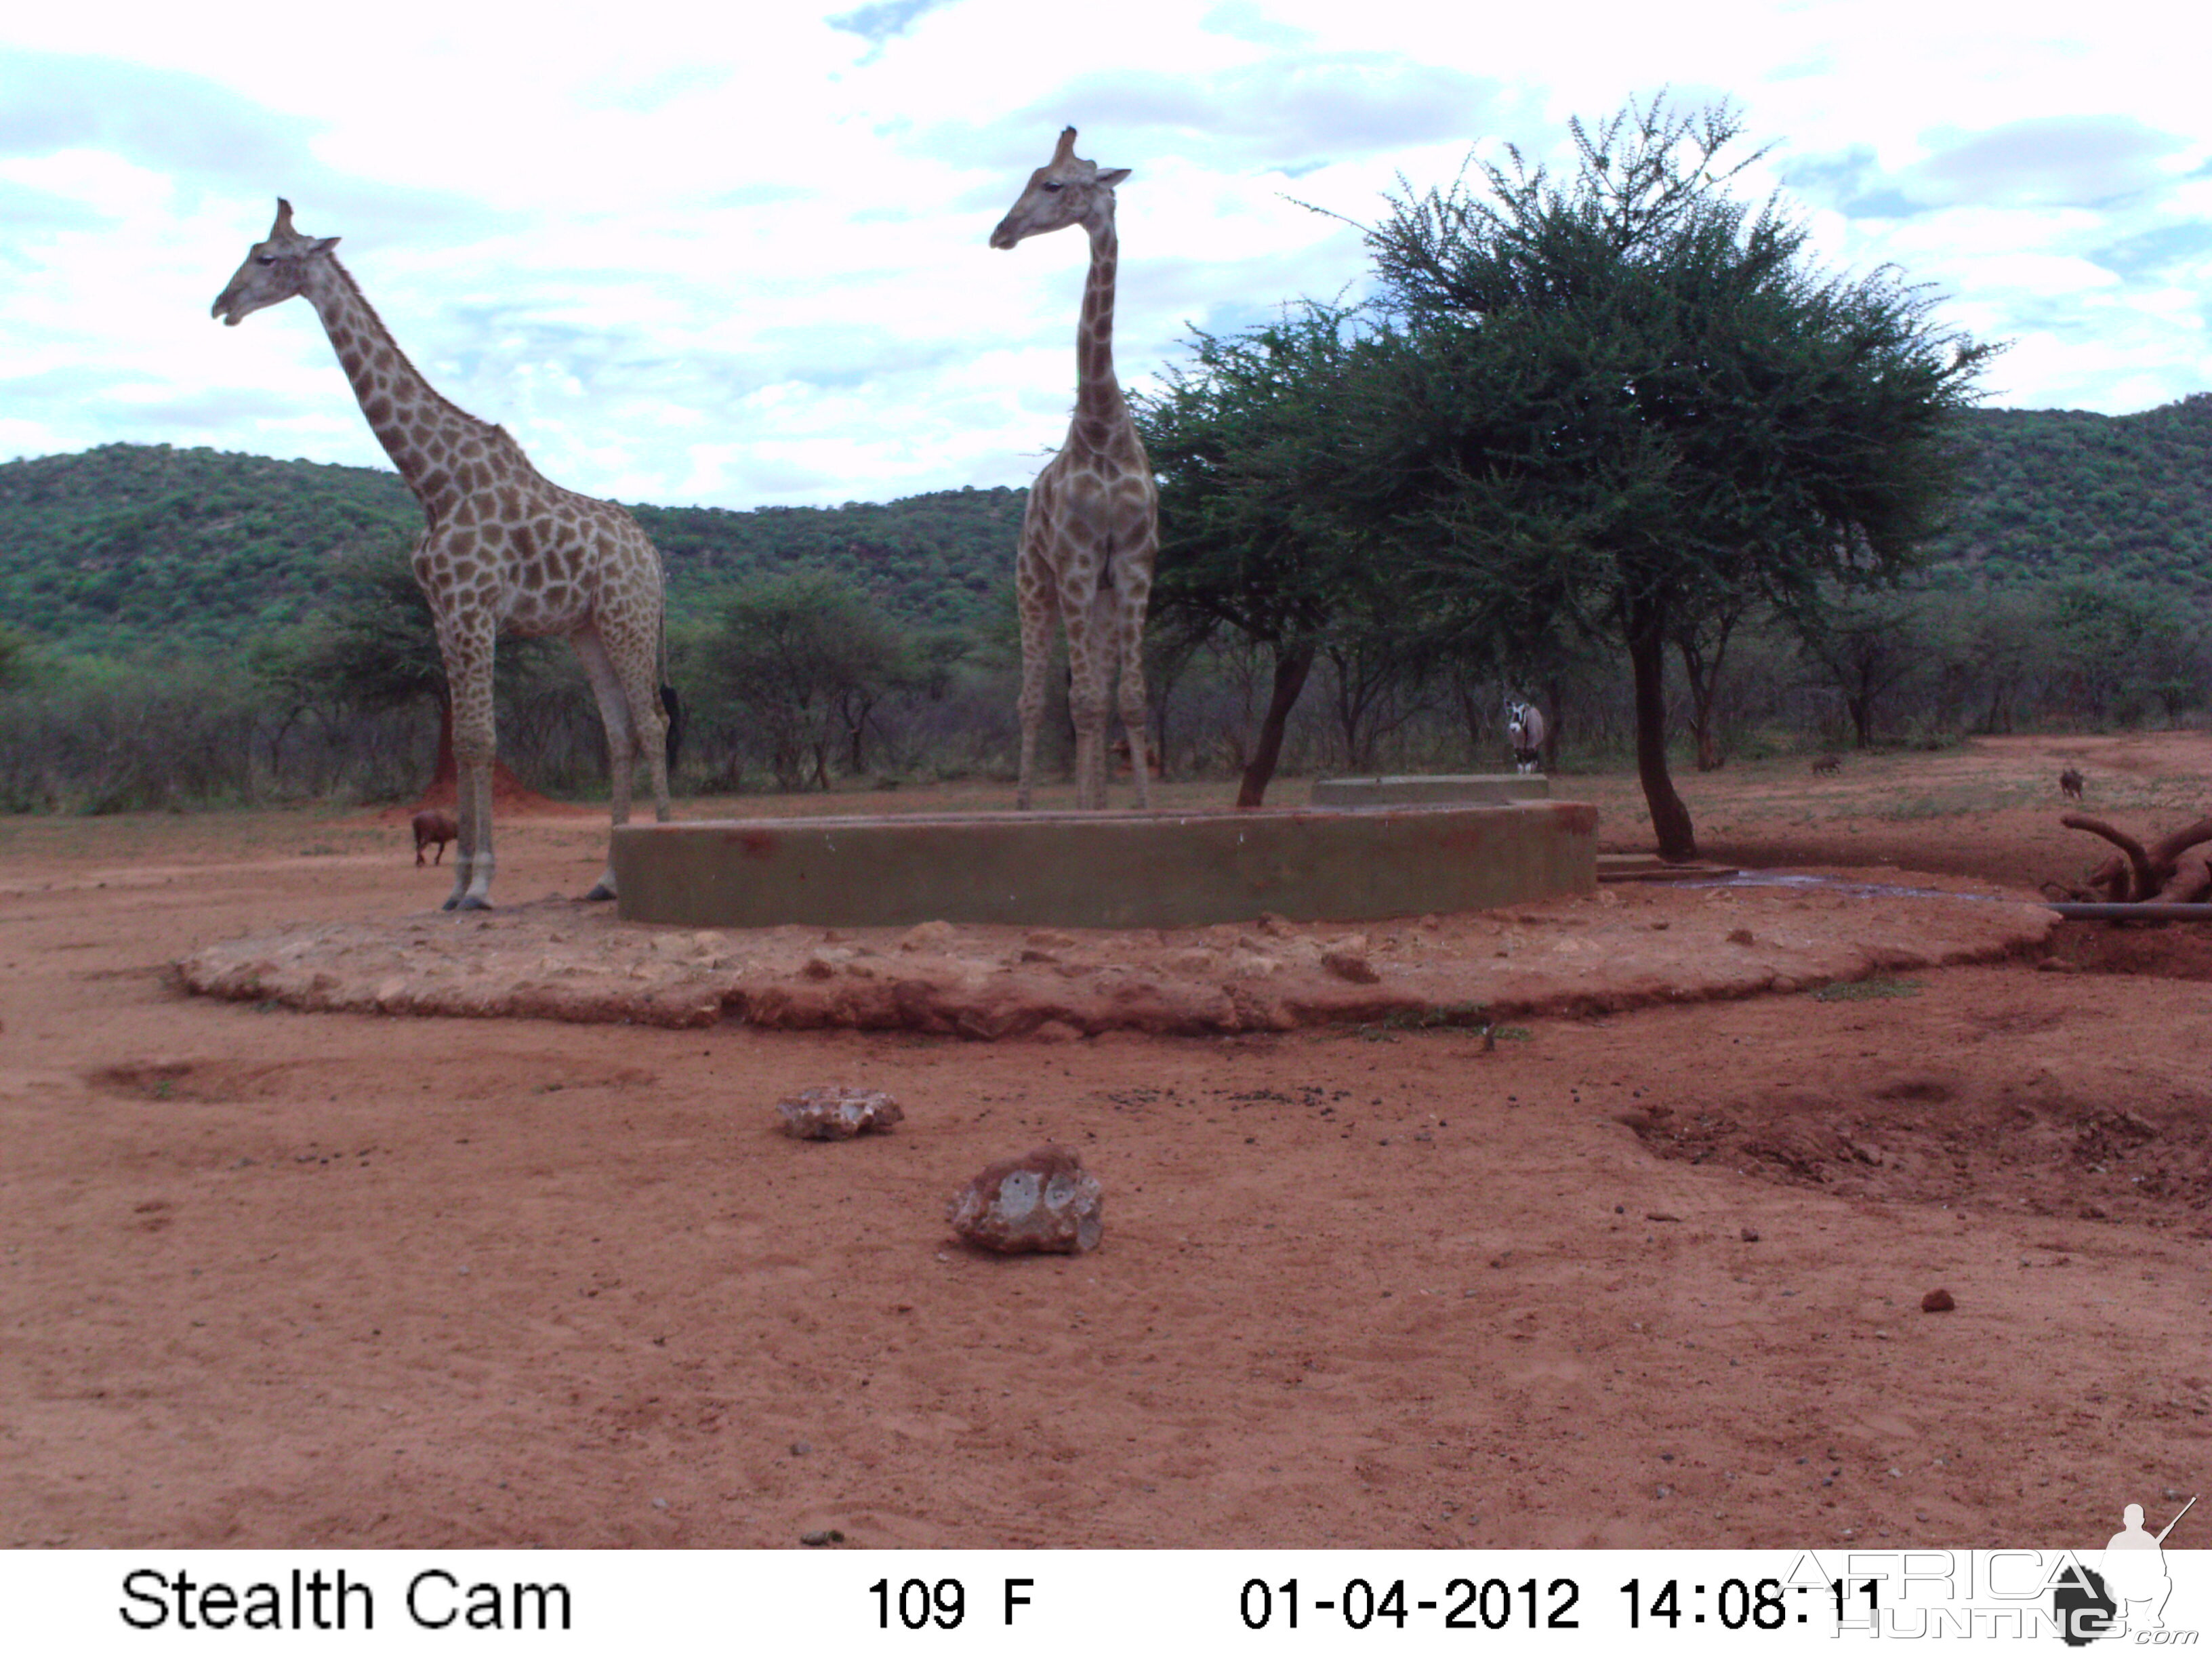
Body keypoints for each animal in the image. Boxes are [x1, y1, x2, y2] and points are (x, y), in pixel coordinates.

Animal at [213, 204, 672, 924]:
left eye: (266, 258)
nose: (221, 305)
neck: (433, 483)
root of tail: (653, 556)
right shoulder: (443, 615)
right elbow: (460, 743)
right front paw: (455, 888)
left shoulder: (475, 610)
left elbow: (481, 740)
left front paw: (481, 885)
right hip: (588, 628)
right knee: (620, 732)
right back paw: (607, 878)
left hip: (629, 618)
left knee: (653, 723)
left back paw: (662, 852)